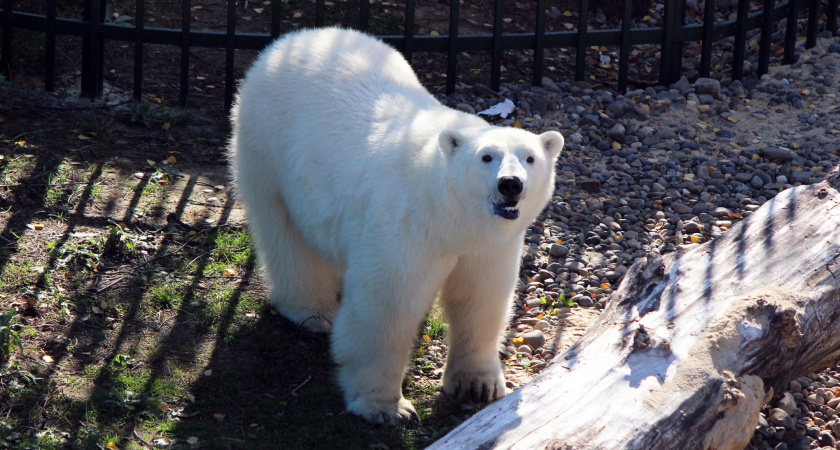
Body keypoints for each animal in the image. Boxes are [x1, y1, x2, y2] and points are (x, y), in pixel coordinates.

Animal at [226, 27, 560, 426]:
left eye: (530, 158)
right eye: (486, 157)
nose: (510, 184)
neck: (449, 212)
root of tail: (290, 41)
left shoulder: (488, 246)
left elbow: (480, 298)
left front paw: (479, 385)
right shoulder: (407, 226)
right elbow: (386, 306)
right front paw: (387, 407)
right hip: (266, 149)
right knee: (285, 235)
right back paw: (312, 310)